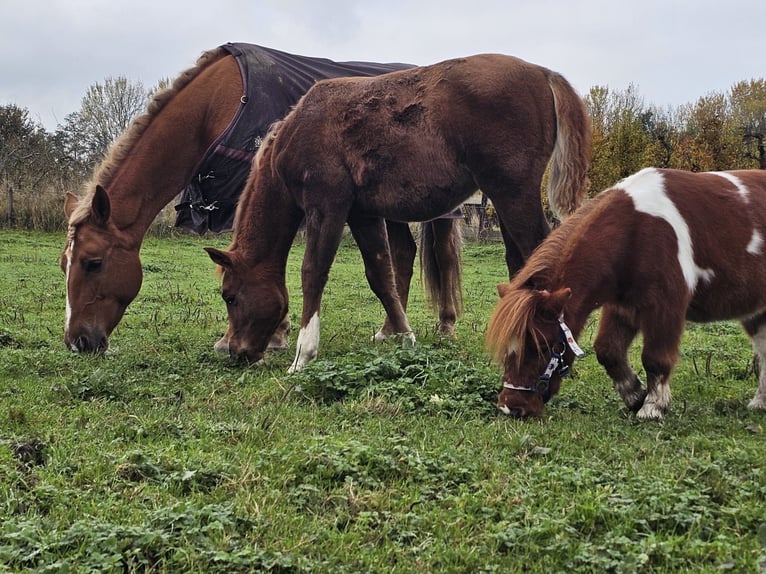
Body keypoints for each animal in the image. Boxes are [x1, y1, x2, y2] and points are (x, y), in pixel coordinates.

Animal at [58, 42, 462, 354]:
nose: (78, 341)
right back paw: (389, 329)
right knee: (403, 254)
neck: (216, 106)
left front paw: (269, 335)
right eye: (64, 265)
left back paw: (445, 326)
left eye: (93, 263)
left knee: (441, 255)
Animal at [206, 54, 592, 374]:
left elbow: (313, 272)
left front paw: (304, 354)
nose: (236, 351)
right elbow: (380, 274)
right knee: (518, 261)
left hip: (513, 195)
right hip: (505, 197)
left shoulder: (326, 207)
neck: (300, 129)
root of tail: (542, 73)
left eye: (230, 296)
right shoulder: (362, 214)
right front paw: (404, 336)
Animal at [486, 169, 766, 420]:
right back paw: (760, 403)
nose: (511, 407)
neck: (634, 232)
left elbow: (655, 358)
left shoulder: (665, 306)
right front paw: (635, 396)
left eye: (543, 346)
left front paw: (653, 407)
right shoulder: (622, 306)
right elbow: (608, 351)